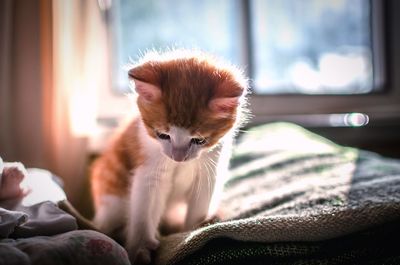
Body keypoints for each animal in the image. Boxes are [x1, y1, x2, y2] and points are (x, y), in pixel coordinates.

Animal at [90, 49, 248, 262]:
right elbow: (142, 209)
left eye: (199, 140)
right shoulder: (148, 168)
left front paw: (192, 230)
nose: (178, 158)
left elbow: (199, 206)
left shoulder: (210, 171)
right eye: (163, 135)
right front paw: (140, 248)